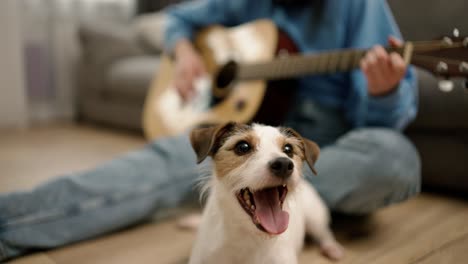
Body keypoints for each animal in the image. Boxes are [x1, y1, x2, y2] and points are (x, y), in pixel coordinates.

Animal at [187, 122, 344, 262]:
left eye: (288, 149)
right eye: (242, 147)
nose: (284, 164)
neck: (248, 235)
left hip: (315, 217)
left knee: (325, 233)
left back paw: (332, 248)